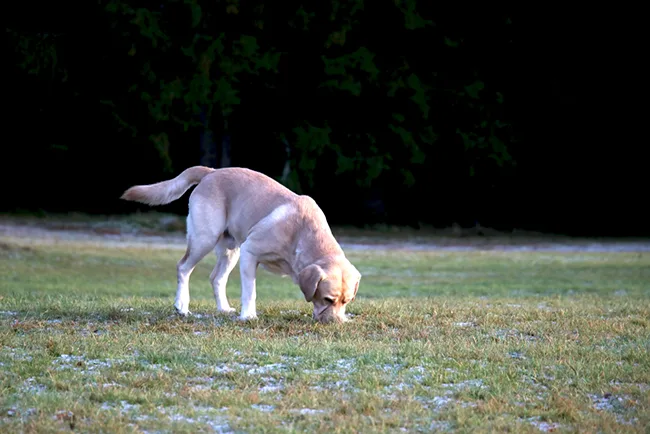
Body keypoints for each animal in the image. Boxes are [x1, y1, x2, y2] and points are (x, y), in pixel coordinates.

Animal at [120, 166, 360, 322]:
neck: (301, 234)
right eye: (328, 299)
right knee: (183, 268)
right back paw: (182, 306)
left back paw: (224, 309)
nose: (336, 323)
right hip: (204, 239)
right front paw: (248, 316)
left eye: (347, 301)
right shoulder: (250, 252)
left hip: (230, 250)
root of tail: (211, 172)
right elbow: (250, 291)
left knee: (216, 278)